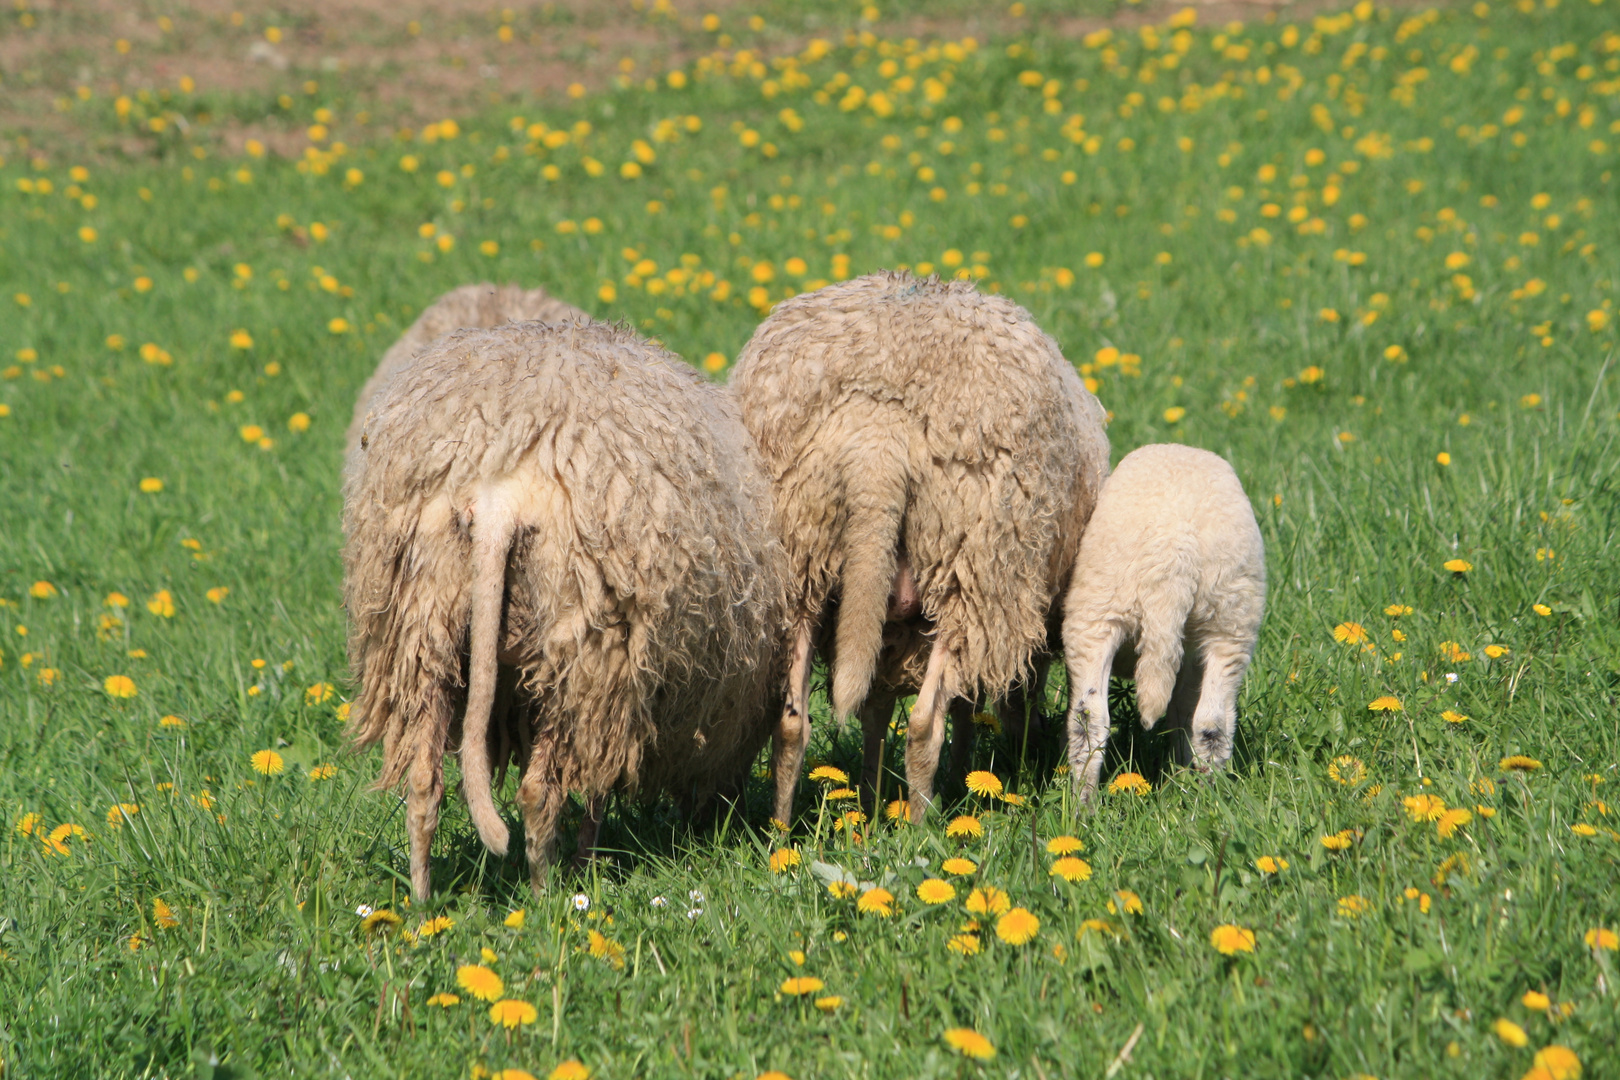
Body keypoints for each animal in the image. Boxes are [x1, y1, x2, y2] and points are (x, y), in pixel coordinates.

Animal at [345, 317, 787, 900]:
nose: (720, 816)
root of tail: (499, 490)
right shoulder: (624, 690)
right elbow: (597, 792)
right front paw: (585, 864)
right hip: (581, 648)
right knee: (538, 791)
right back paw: (545, 897)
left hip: (421, 627)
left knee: (423, 782)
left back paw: (421, 902)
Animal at [735, 270, 1114, 819]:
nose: (1033, 741)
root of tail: (877, 438)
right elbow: (967, 705)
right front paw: (966, 773)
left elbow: (875, 709)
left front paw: (870, 800)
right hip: (970, 571)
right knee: (922, 724)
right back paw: (921, 824)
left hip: (802, 559)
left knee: (791, 725)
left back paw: (781, 832)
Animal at [1056, 443, 1270, 806]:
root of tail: (1173, 549)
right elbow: (1183, 711)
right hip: (1228, 617)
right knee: (1211, 722)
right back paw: (1206, 801)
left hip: (1101, 612)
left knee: (1089, 719)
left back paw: (1082, 805)